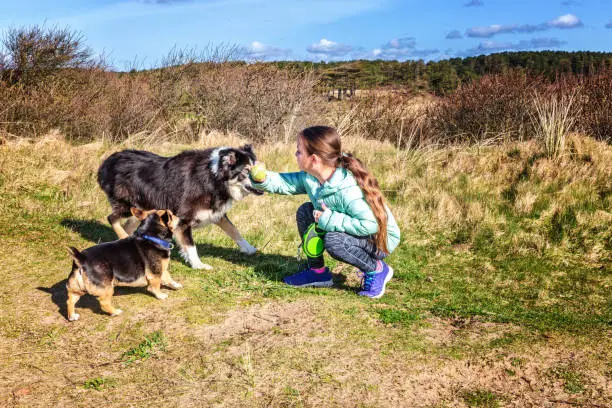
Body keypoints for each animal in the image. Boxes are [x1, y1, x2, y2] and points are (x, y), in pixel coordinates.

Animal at [97, 145, 262, 270]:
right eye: (246, 170)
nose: (263, 180)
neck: (214, 177)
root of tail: (109, 161)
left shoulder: (215, 212)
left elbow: (233, 229)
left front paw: (248, 248)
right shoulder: (183, 218)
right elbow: (190, 245)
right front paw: (198, 264)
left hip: (141, 209)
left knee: (126, 225)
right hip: (127, 205)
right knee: (111, 218)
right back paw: (123, 237)